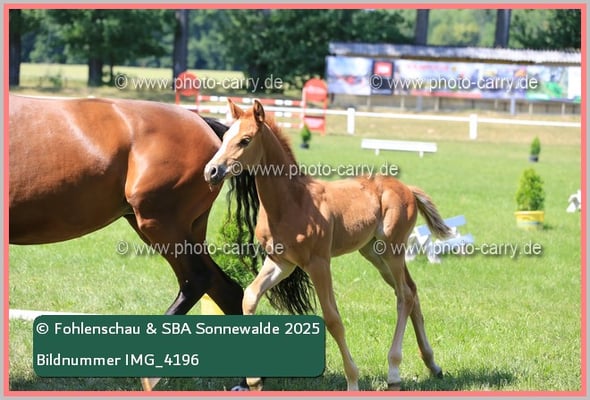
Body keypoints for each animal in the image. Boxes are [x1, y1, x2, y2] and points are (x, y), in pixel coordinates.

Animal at [8, 94, 267, 391]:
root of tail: (201, 122)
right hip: (179, 230)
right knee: (225, 289)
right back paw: (245, 381)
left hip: (160, 223)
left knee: (197, 280)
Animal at [204, 99, 451, 391]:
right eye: (224, 137)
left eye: (245, 140)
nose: (211, 171)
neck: (290, 202)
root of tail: (406, 188)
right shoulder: (281, 262)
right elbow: (250, 297)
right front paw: (254, 381)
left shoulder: (318, 263)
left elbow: (332, 318)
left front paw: (353, 381)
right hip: (373, 252)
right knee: (412, 291)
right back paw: (433, 364)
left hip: (393, 249)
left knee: (404, 296)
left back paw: (394, 371)